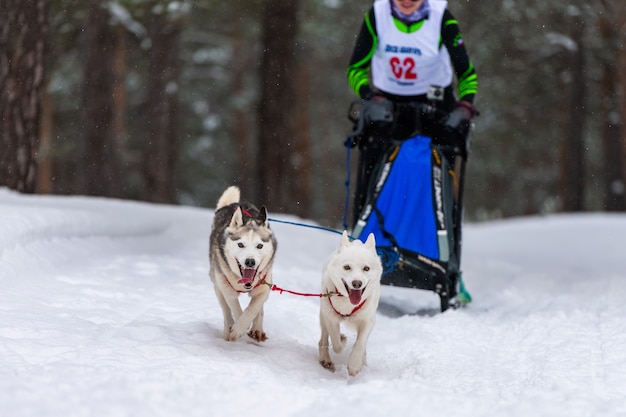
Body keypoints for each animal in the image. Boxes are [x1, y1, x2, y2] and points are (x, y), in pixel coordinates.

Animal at [207, 185, 276, 342]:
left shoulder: (264, 287)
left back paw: (257, 329)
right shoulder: (226, 288)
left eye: (259, 246)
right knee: (226, 311)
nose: (250, 261)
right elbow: (235, 308)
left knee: (259, 309)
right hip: (217, 283)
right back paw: (228, 330)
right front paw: (238, 329)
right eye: (240, 244)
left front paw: (244, 326)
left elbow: (253, 309)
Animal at [316, 231, 380, 376]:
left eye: (366, 268)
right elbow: (336, 344)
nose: (357, 283)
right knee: (323, 339)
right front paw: (342, 339)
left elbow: (360, 343)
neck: (347, 304)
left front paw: (355, 364)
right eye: (347, 267)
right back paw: (325, 358)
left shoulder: (368, 321)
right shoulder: (331, 318)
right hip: (323, 314)